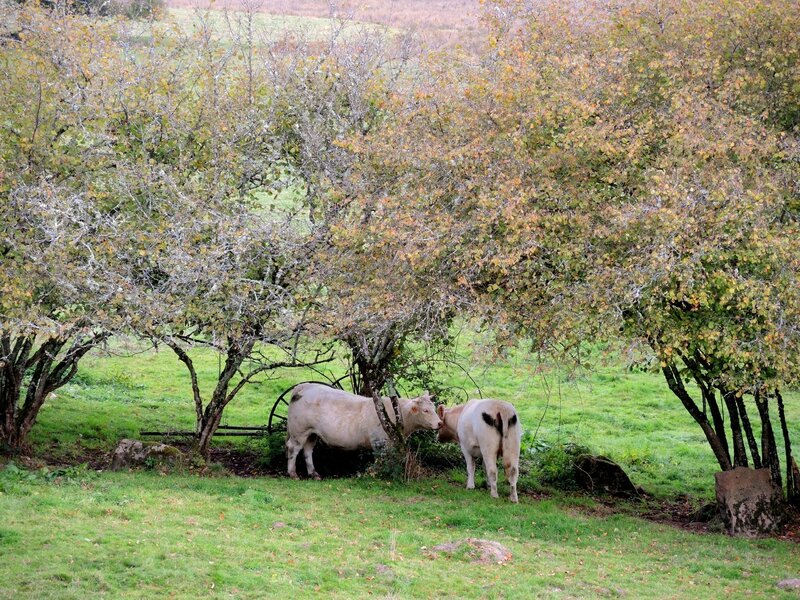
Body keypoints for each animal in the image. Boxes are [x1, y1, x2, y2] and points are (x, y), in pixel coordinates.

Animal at [286, 384, 440, 478]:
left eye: (433, 407)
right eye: (425, 410)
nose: (439, 423)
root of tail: (306, 386)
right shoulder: (379, 442)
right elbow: (380, 459)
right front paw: (376, 474)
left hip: (311, 433)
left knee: (307, 450)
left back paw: (314, 474)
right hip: (299, 431)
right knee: (293, 449)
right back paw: (293, 474)